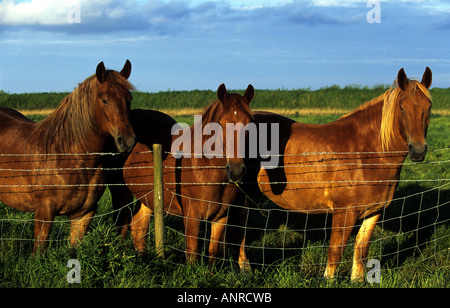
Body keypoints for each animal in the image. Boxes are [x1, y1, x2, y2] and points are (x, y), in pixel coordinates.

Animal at [0, 59, 135, 253]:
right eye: (104, 100)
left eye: (129, 100)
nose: (128, 141)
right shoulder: (44, 212)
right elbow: (39, 251)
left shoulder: (83, 214)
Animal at [112, 83, 253, 270]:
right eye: (221, 124)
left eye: (249, 123)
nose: (236, 171)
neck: (204, 168)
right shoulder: (192, 214)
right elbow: (192, 253)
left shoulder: (221, 216)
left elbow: (213, 253)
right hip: (121, 191)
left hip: (147, 197)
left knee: (138, 225)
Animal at [253, 67, 432, 282]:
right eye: (402, 108)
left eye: (429, 107)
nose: (418, 151)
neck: (365, 153)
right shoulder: (344, 212)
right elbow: (336, 251)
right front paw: (328, 280)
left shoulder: (373, 211)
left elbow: (361, 248)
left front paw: (357, 280)